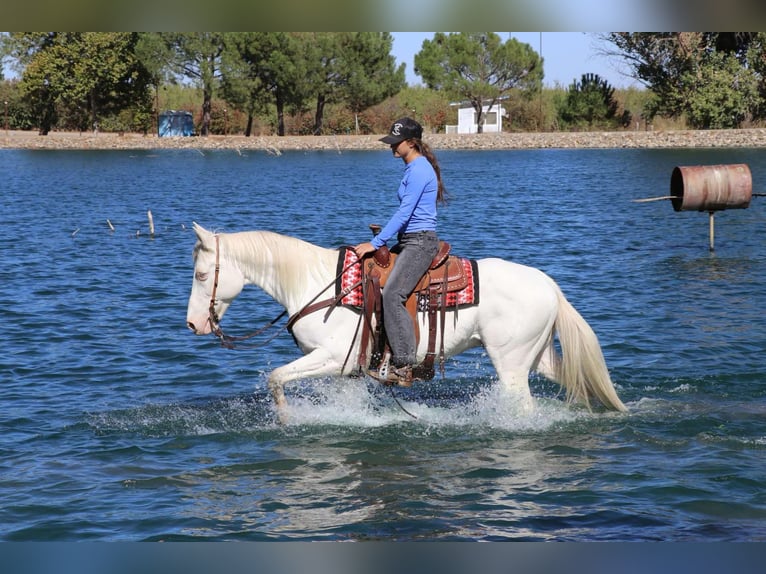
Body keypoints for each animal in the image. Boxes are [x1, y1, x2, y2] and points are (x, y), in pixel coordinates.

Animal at [186, 222, 627, 419]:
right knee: (571, 378)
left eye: (202, 274)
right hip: (536, 356)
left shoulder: (333, 358)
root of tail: (551, 287)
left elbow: (276, 378)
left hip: (512, 362)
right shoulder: (346, 369)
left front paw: (287, 419)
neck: (316, 283)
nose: (192, 325)